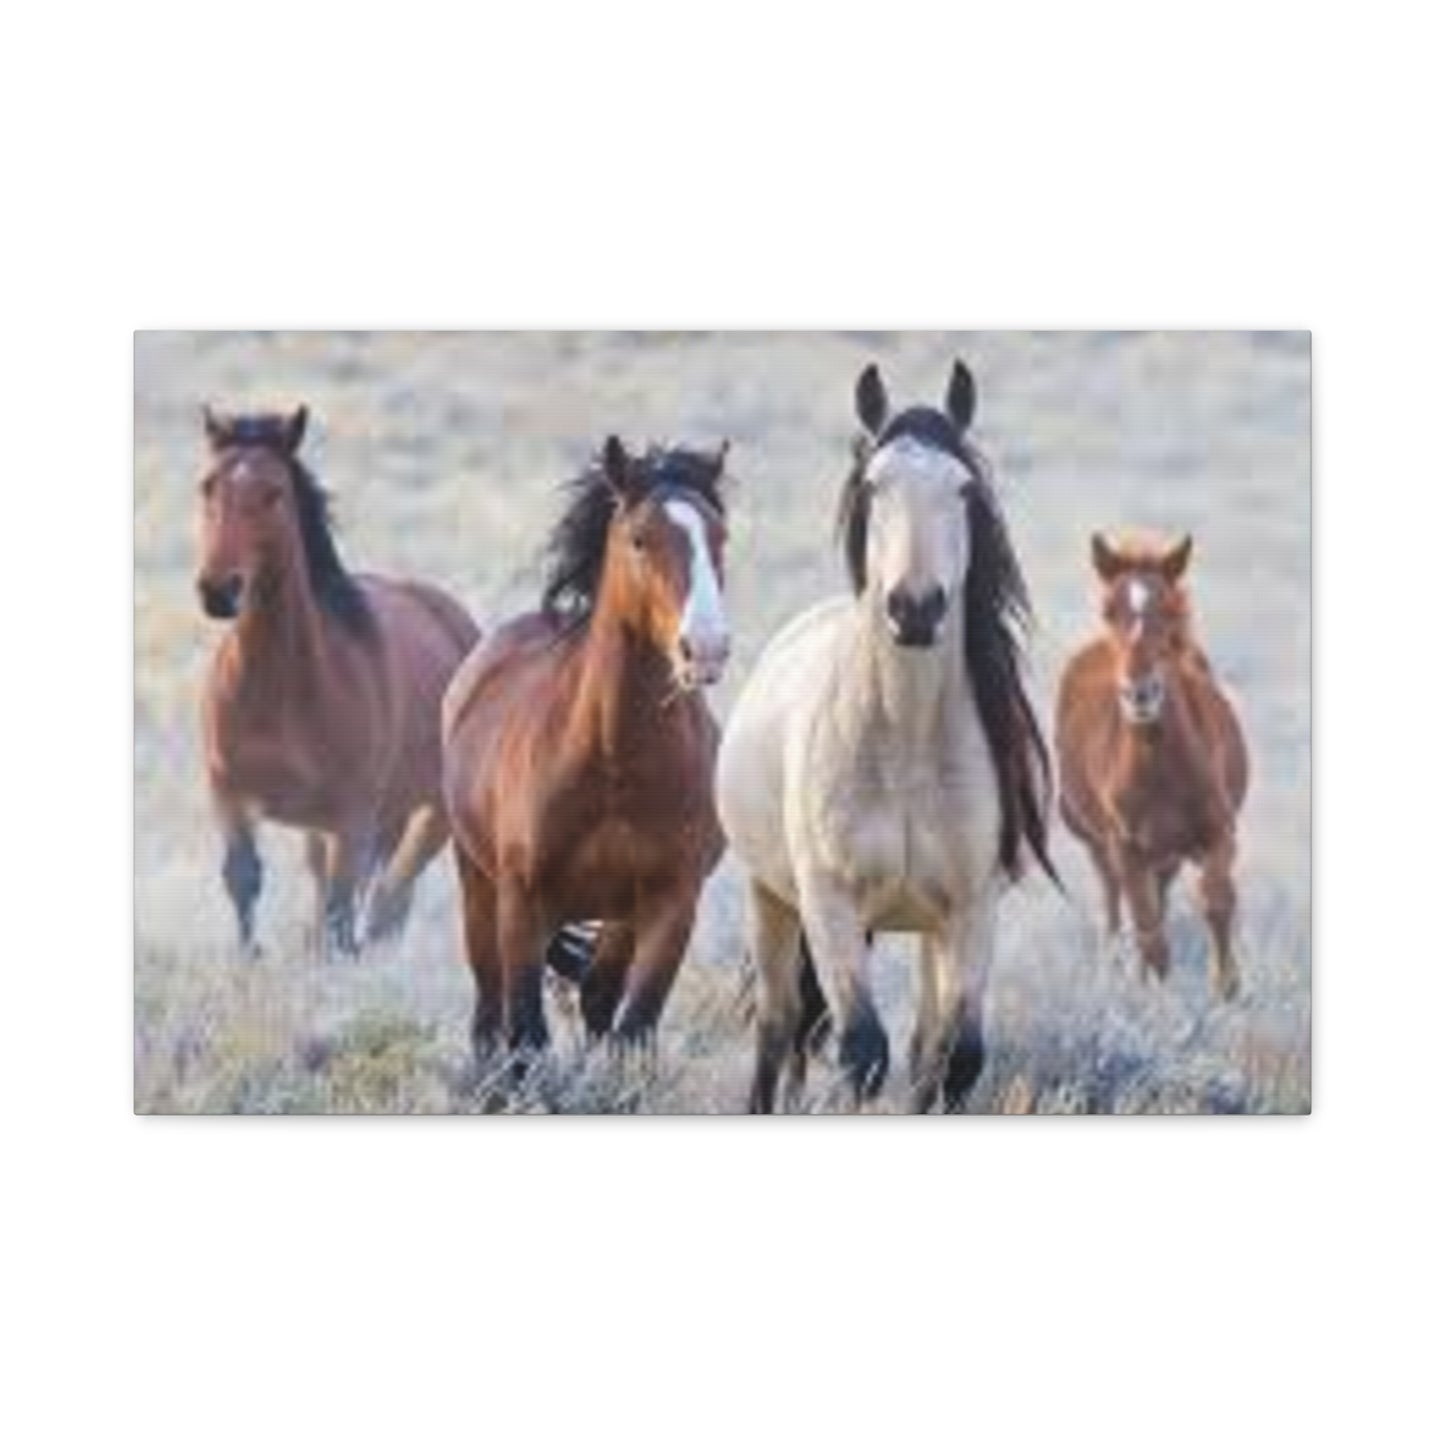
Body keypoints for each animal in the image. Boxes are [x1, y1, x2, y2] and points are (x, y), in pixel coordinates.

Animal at [195, 405, 480, 957]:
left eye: (273, 492)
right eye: (208, 486)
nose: (219, 591)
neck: (278, 691)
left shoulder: (352, 816)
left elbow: (342, 908)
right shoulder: (230, 795)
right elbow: (243, 879)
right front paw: (249, 959)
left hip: (428, 812)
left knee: (389, 898)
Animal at [442, 435, 732, 1061]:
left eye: (721, 536)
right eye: (640, 539)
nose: (706, 648)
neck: (613, 763)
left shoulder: (671, 902)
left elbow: (633, 1027)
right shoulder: (522, 902)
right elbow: (526, 1035)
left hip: (619, 919)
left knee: (599, 995)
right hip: (479, 887)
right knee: (488, 1010)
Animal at [716, 360, 1055, 1113]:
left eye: (963, 488)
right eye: (874, 485)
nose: (915, 608)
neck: (904, 746)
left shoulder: (971, 909)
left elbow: (953, 1059)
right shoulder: (830, 904)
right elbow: (861, 1052)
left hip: (930, 932)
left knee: (924, 1043)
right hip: (769, 898)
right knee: (778, 1027)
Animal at [1055, 532, 1249, 1000]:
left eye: (1170, 610)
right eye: (1109, 610)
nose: (1139, 693)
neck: (1161, 770)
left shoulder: (1219, 831)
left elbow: (1216, 899)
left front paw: (1228, 990)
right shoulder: (1126, 848)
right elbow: (1147, 929)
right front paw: (1159, 1001)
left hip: (1167, 854)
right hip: (1100, 844)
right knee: (1115, 905)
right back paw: (1115, 970)